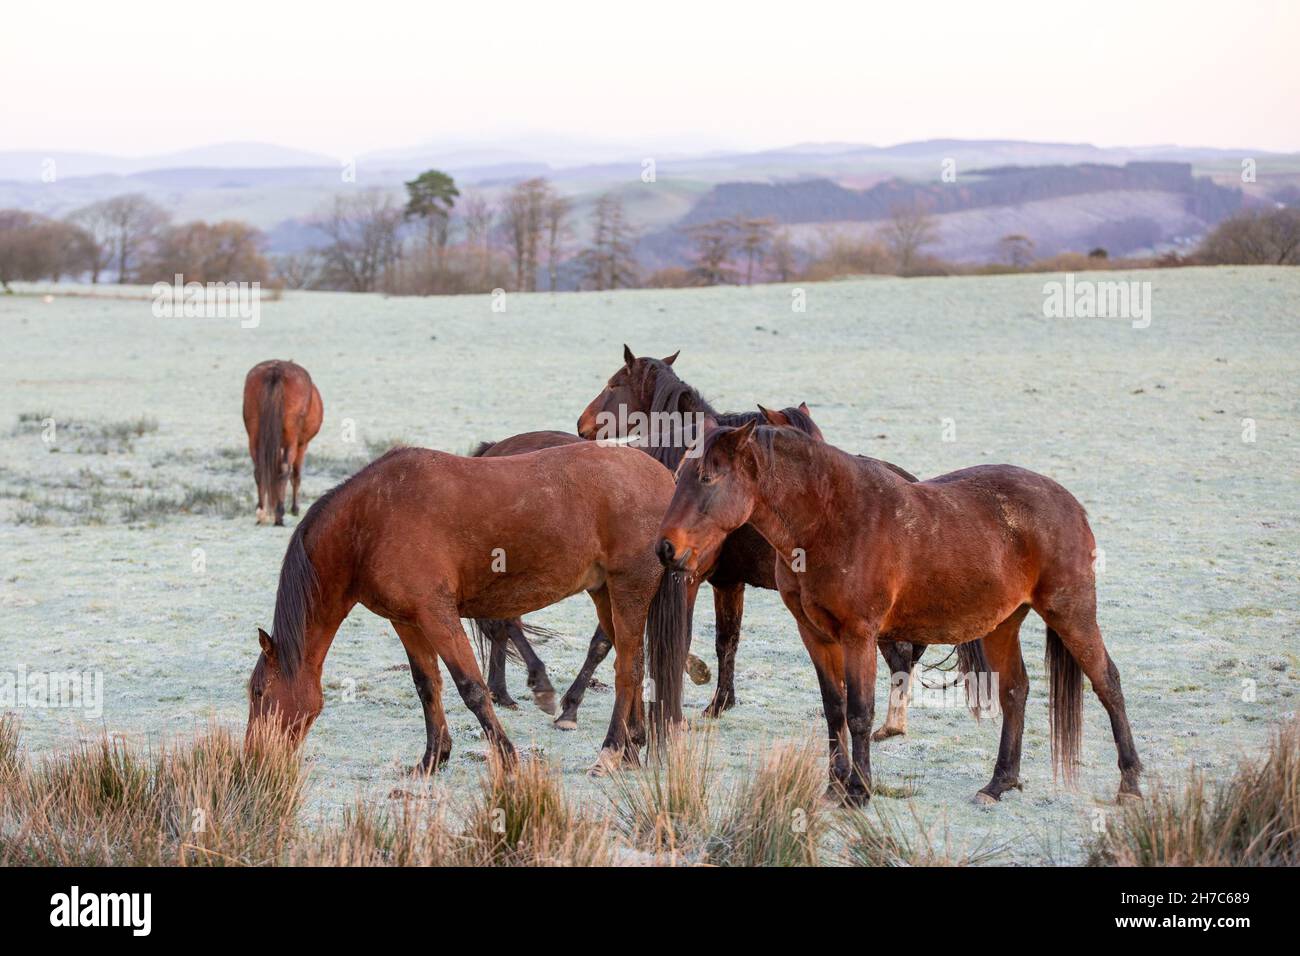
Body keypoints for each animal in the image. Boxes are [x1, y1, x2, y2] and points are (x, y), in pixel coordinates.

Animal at [244, 361, 325, 528]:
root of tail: (276, 370)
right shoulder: (302, 445)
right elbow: (295, 476)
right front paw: (294, 508)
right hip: (292, 441)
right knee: (285, 469)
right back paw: (279, 514)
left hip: (254, 438)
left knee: (259, 470)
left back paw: (261, 512)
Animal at [245, 447, 691, 770]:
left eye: (259, 692)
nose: (253, 757)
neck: (370, 523)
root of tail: (662, 477)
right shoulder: (408, 622)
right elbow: (428, 686)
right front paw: (432, 758)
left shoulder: (437, 615)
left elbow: (472, 687)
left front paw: (507, 757)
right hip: (605, 595)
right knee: (634, 665)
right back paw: (632, 747)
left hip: (628, 590)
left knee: (627, 670)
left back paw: (611, 750)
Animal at [655, 421, 1144, 806]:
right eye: (678, 476)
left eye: (708, 477)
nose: (665, 549)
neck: (829, 521)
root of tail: (1069, 503)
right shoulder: (816, 635)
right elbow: (834, 709)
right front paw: (835, 784)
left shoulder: (859, 635)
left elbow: (859, 712)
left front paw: (858, 791)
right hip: (1003, 623)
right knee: (1015, 692)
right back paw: (999, 783)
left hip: (1071, 611)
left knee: (1108, 682)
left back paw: (1130, 783)